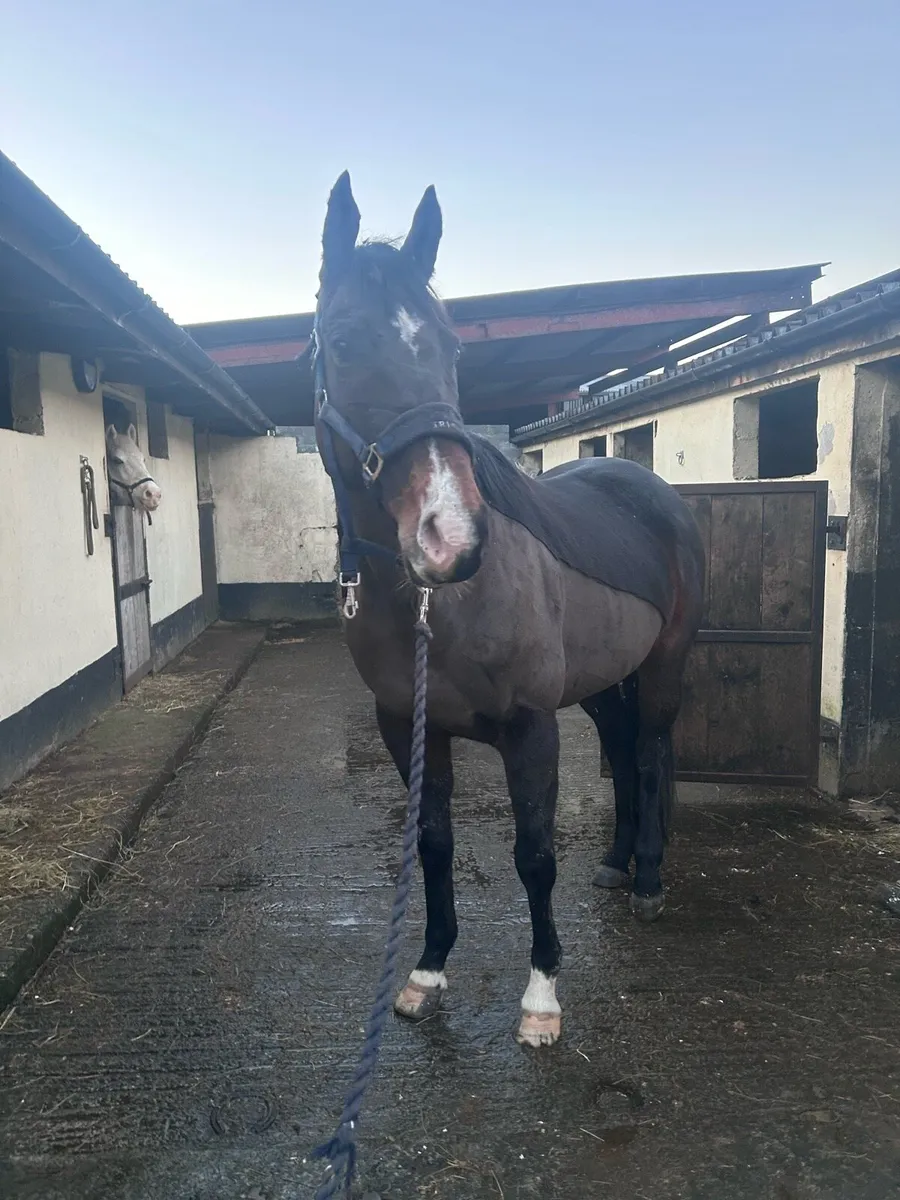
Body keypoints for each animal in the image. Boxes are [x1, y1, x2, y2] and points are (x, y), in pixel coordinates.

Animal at [311, 173, 705, 1048]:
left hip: (664, 667)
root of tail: (652, 491)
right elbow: (433, 844)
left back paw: (650, 879)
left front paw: (542, 998)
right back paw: (617, 862)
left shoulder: (531, 728)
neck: (442, 605)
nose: (451, 537)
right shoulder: (407, 725)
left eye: (451, 348)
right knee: (622, 748)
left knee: (651, 752)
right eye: (343, 342)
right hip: (600, 683)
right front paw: (427, 973)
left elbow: (534, 856)